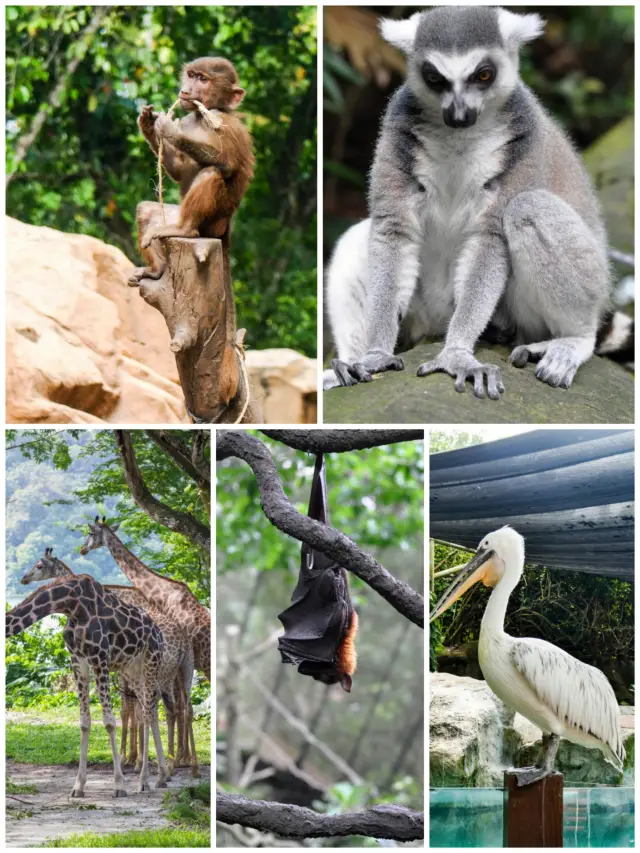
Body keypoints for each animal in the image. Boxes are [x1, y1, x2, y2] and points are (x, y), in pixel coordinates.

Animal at [6, 568, 170, 796]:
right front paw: (78, 786)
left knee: (148, 711)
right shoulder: (78, 660)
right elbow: (84, 722)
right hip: (131, 669)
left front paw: (119, 785)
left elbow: (109, 722)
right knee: (151, 709)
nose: (24, 579)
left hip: (151, 660)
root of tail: (159, 633)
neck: (69, 605)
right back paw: (158, 777)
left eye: (39, 566)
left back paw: (147, 780)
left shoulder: (99, 657)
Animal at [21, 548, 198, 776]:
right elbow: (131, 712)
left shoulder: (119, 671)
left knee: (169, 707)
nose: (24, 578)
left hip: (163, 673)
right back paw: (185, 763)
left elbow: (129, 712)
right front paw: (131, 758)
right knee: (182, 707)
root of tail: (184, 642)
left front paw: (130, 760)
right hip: (182, 671)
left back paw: (173, 763)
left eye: (40, 565)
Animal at [81, 516, 211, 768]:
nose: (82, 549)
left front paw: (170, 757)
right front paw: (176, 756)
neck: (160, 595)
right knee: (185, 707)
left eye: (91, 533)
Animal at [130, 59, 255, 290]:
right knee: (146, 210)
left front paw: (170, 129)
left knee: (211, 172)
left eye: (203, 79)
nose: (185, 90)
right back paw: (156, 270)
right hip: (176, 215)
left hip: (213, 222)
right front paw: (148, 124)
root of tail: (226, 228)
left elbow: (227, 165)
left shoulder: (227, 125)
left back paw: (185, 231)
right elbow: (179, 170)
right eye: (191, 75)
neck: (202, 117)